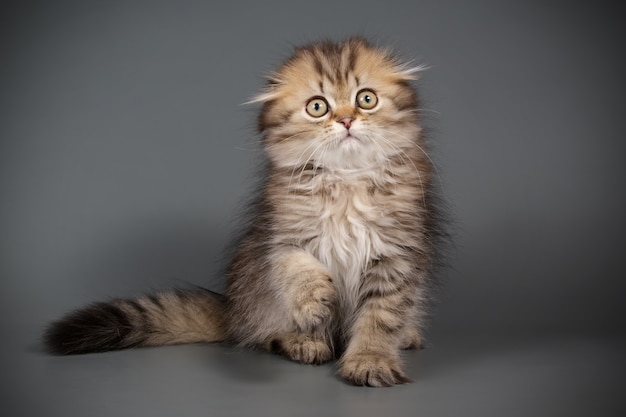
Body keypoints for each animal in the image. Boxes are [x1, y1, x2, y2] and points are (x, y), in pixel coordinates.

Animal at [44, 37, 442, 386]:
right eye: (318, 107)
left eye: (366, 99)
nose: (346, 120)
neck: (346, 179)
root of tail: (233, 309)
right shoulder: (280, 236)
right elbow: (297, 267)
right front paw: (314, 301)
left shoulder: (396, 255)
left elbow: (380, 319)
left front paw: (370, 361)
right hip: (255, 289)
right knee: (264, 333)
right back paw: (303, 341)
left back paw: (406, 335)